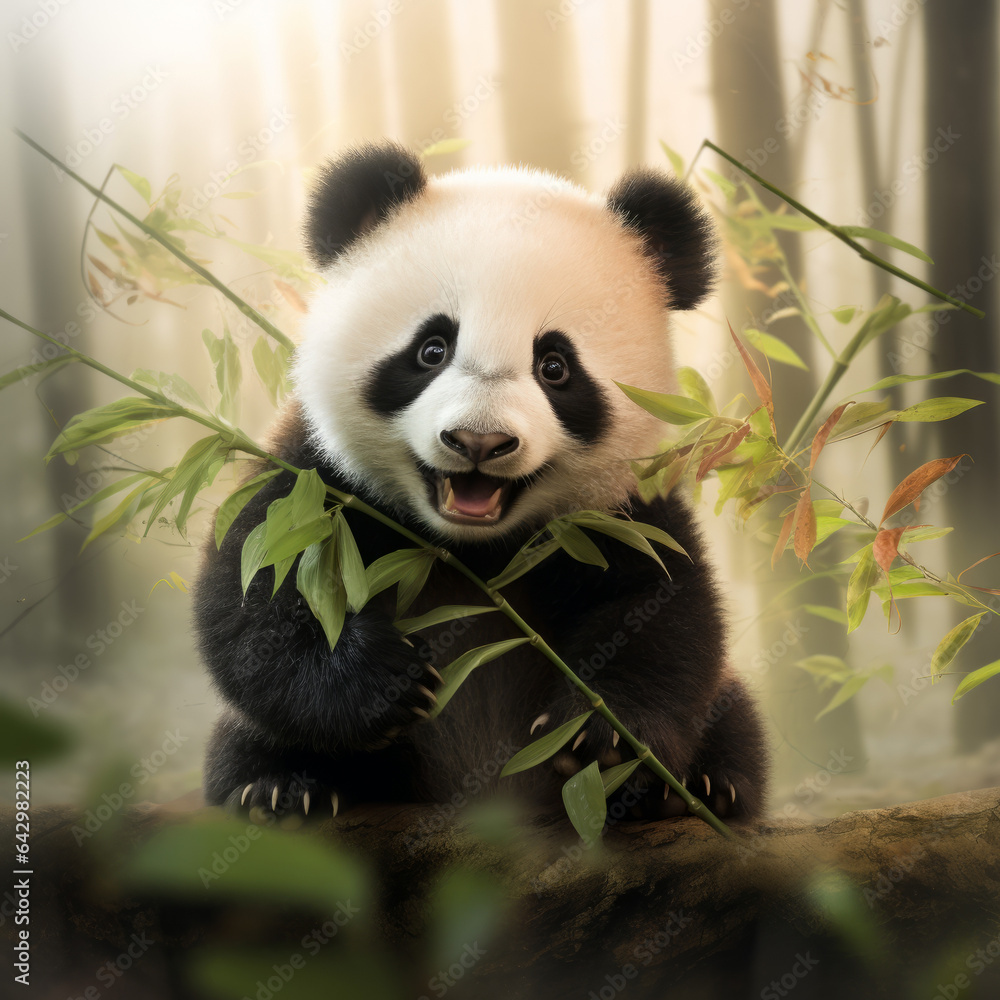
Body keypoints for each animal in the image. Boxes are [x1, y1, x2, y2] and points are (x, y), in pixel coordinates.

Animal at [193, 141, 769, 823]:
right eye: (432, 349)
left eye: (555, 366)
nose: (478, 442)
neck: (473, 549)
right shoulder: (315, 480)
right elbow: (258, 596)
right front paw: (386, 681)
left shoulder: (621, 511)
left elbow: (661, 613)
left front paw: (596, 737)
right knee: (244, 740)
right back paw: (280, 787)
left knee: (732, 714)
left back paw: (701, 789)